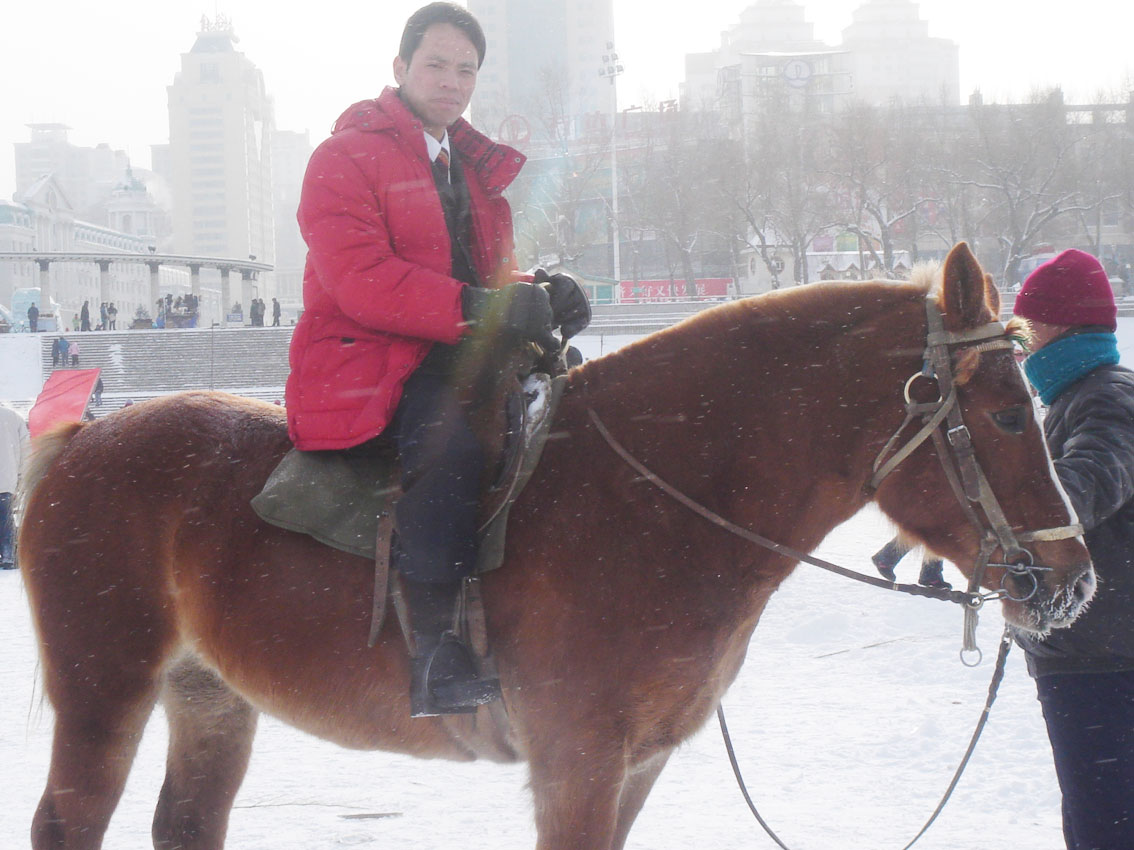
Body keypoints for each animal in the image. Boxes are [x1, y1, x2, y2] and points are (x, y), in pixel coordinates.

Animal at [17, 242, 1093, 847]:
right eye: (1007, 413)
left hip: (209, 697)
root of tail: (84, 438)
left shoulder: (633, 767)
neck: (650, 499)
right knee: (68, 823)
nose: (1074, 578)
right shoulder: (577, 760)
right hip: (104, 690)